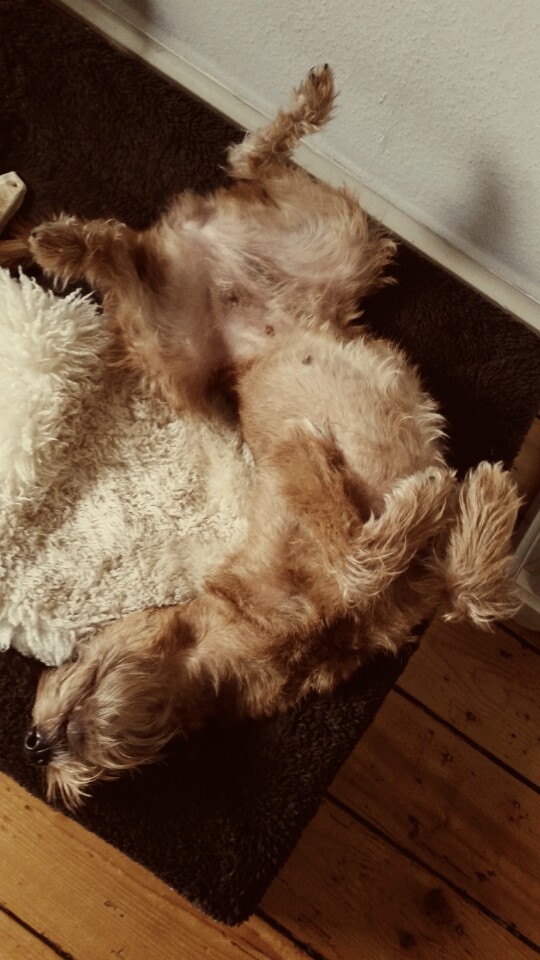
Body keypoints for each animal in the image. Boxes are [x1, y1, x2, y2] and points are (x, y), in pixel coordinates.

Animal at [5, 66, 520, 808]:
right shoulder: (403, 579)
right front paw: (450, 497)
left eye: (72, 652)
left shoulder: (401, 581)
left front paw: (475, 494)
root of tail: (192, 251)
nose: (29, 742)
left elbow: (460, 587)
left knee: (227, 178)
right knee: (166, 226)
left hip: (321, 250)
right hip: (189, 343)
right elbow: (399, 566)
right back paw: (75, 242)